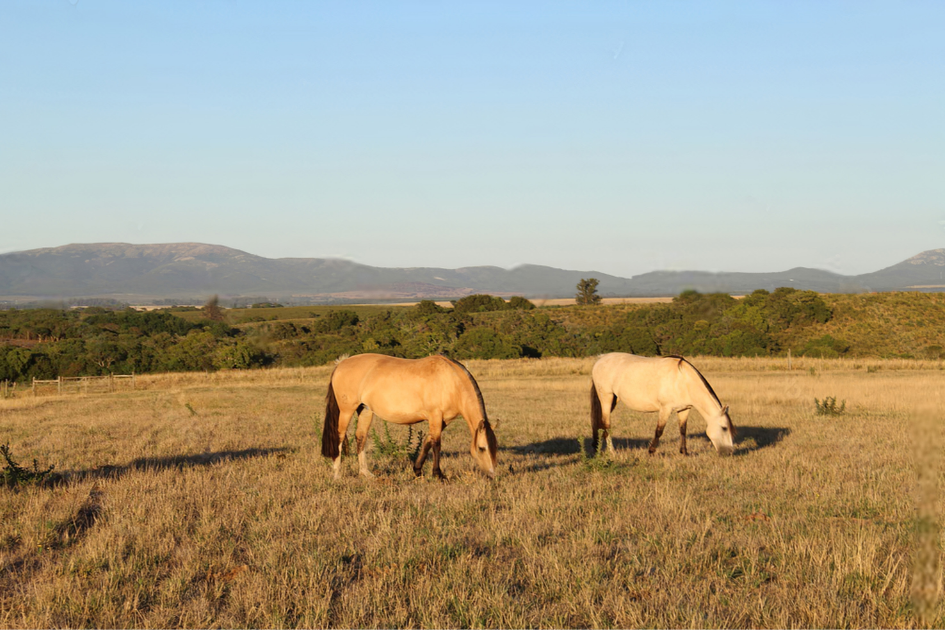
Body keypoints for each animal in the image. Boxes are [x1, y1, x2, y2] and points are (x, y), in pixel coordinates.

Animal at [321, 353, 498, 480]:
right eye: (481, 448)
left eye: (495, 448)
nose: (492, 475)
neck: (451, 381)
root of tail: (341, 363)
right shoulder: (435, 415)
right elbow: (436, 444)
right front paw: (438, 474)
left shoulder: (442, 420)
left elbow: (427, 442)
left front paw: (417, 470)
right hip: (346, 411)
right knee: (340, 437)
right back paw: (337, 474)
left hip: (365, 410)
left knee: (360, 438)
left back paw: (365, 473)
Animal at [589, 353, 735, 456]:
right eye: (724, 428)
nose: (729, 452)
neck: (683, 380)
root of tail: (600, 359)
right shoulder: (666, 409)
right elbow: (659, 431)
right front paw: (651, 451)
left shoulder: (684, 409)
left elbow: (683, 430)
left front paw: (684, 452)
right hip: (606, 398)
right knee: (606, 424)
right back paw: (612, 451)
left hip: (614, 399)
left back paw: (597, 448)